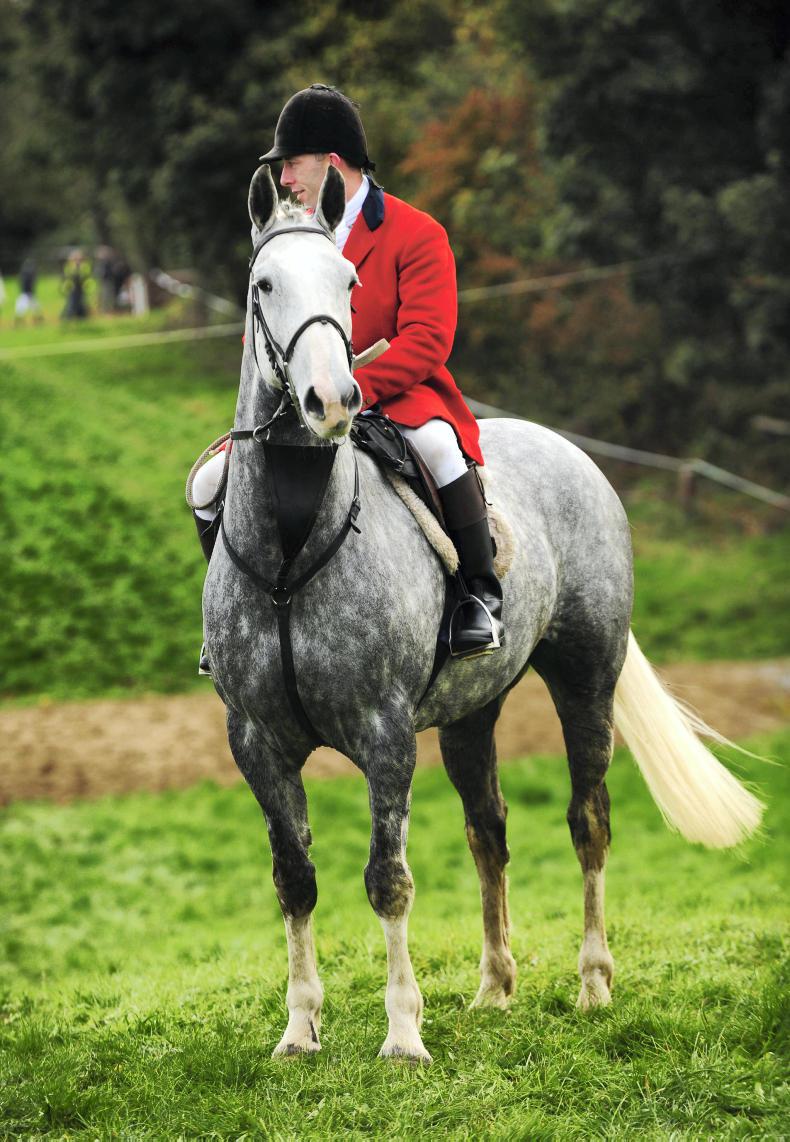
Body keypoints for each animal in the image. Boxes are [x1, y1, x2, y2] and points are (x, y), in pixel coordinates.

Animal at [202, 163, 763, 1063]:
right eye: (263, 285)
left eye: (349, 283)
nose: (333, 399)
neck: (291, 548)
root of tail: (567, 448)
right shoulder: (256, 742)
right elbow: (295, 880)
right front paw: (299, 1029)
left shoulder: (384, 734)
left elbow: (387, 880)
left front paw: (402, 1034)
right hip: (473, 710)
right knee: (487, 829)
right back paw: (495, 987)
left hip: (586, 680)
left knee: (588, 820)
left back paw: (593, 984)